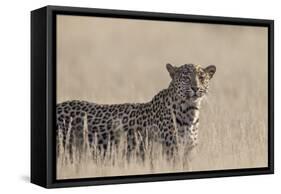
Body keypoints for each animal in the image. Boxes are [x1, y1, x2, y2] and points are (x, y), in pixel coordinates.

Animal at [56, 63, 214, 161]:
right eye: (186, 78)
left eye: (202, 77)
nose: (195, 88)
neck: (190, 112)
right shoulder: (170, 152)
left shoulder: (188, 152)